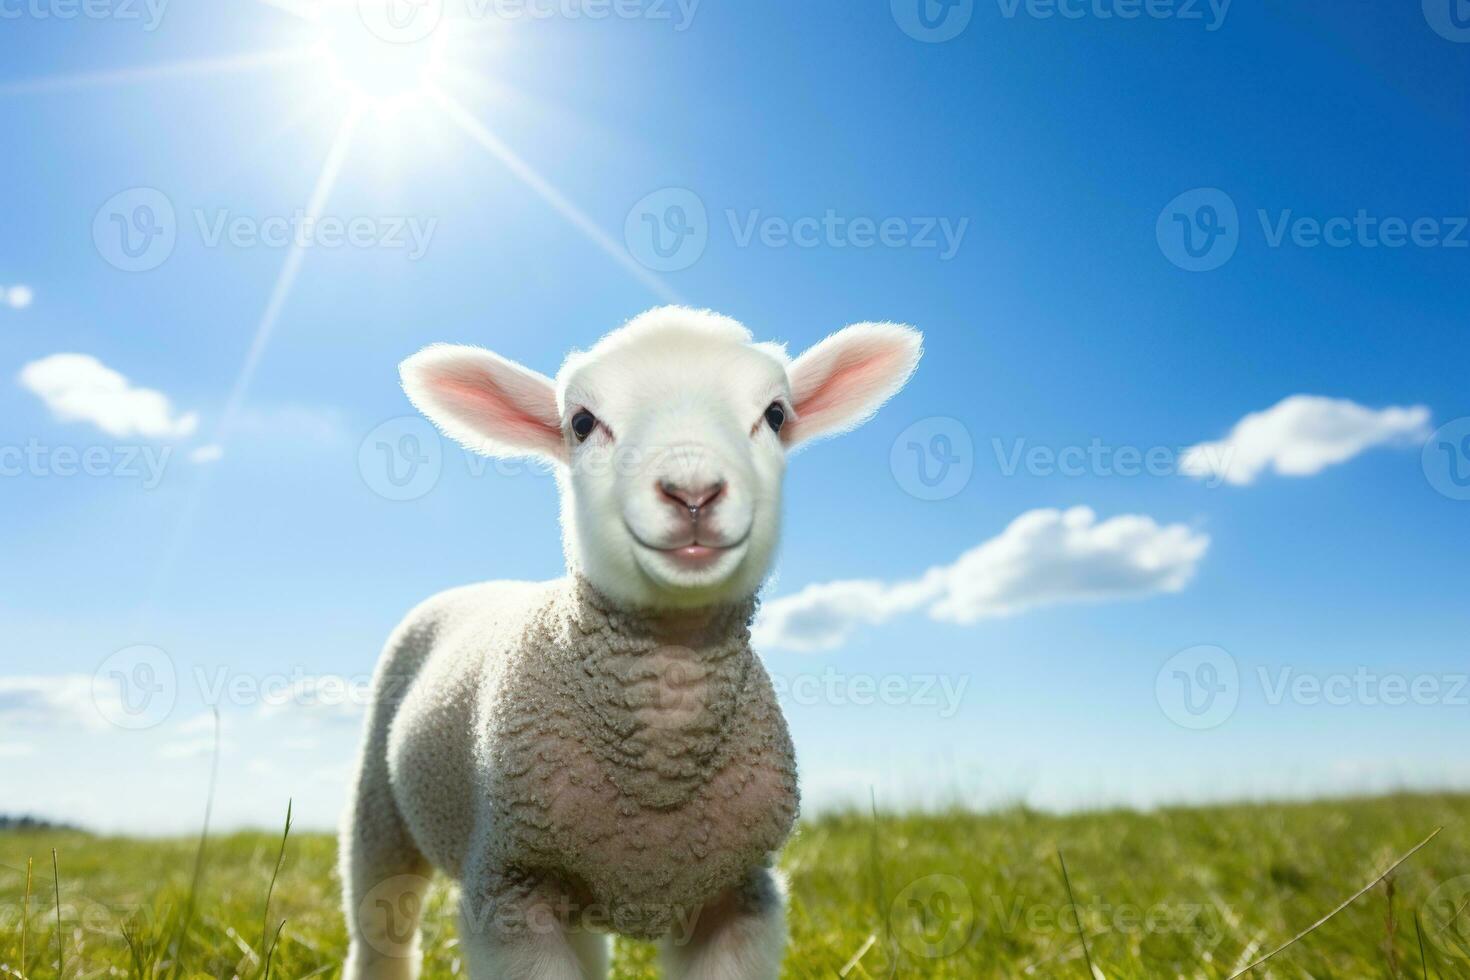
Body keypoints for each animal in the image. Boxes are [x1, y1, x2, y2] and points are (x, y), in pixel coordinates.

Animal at [338, 307, 923, 980]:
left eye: (776, 414)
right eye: (582, 423)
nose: (692, 491)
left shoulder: (742, 893)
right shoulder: (509, 889)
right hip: (378, 810)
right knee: (380, 926)